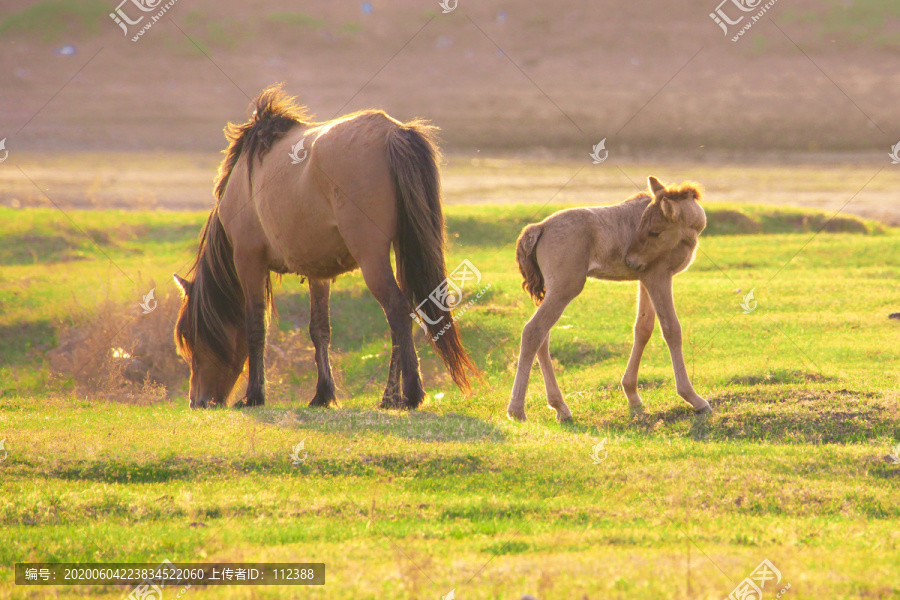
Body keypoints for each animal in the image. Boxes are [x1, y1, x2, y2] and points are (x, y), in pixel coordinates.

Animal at [171, 84, 474, 410]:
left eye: (190, 335)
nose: (197, 401)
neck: (243, 181)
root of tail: (393, 132)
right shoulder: (317, 270)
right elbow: (319, 331)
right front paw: (323, 393)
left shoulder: (248, 259)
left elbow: (256, 327)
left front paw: (254, 395)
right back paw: (390, 397)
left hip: (371, 257)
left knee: (397, 309)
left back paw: (409, 394)